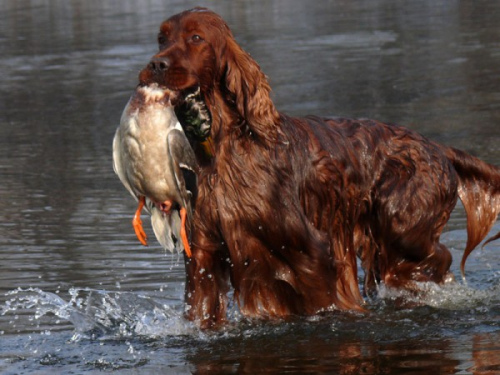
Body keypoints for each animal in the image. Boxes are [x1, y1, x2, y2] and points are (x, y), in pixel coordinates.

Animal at [137, 6, 500, 328]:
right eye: (161, 38)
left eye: (196, 37)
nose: (156, 63)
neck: (222, 151)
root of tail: (438, 147)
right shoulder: (204, 257)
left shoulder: (310, 250)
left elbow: (323, 298)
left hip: (403, 226)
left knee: (439, 258)